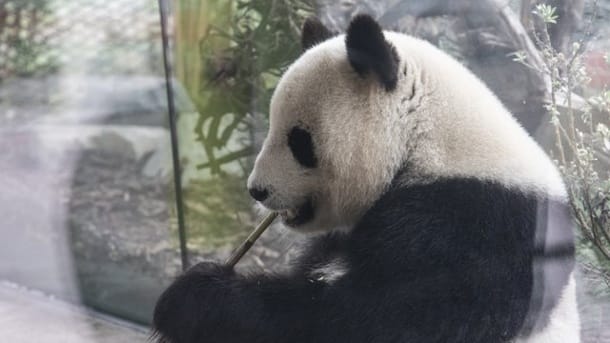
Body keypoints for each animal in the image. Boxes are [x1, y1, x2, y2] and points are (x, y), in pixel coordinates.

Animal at [153, 14, 580, 342]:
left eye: (298, 140)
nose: (257, 190)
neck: (428, 141)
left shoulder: (474, 228)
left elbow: (368, 320)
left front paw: (193, 297)